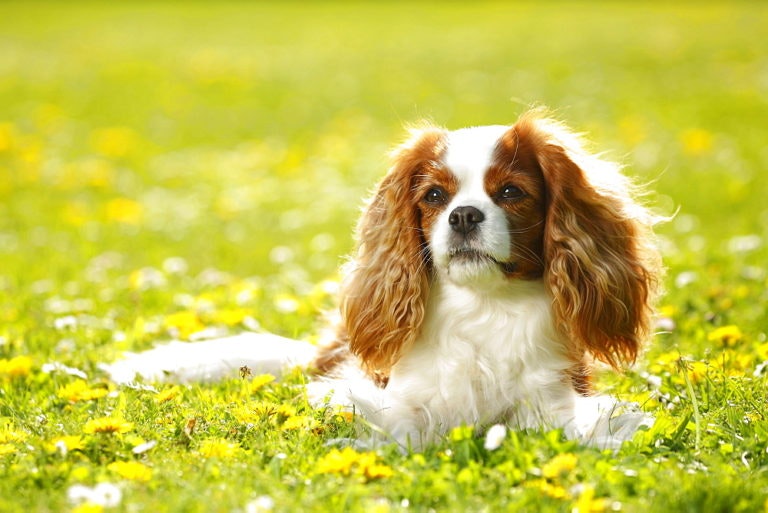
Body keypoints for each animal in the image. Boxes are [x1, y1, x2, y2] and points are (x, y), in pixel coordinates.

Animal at [106, 109, 662, 449]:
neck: (483, 306)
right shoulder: (383, 395)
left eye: (510, 192)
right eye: (435, 196)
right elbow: (404, 424)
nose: (463, 215)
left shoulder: (556, 402)